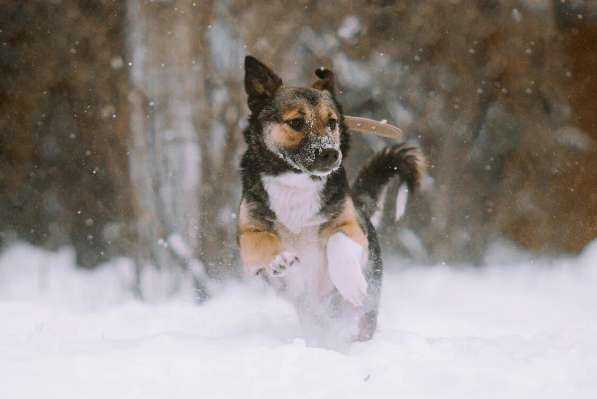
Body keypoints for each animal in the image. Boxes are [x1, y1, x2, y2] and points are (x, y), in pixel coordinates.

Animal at [237, 55, 424, 344]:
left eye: (332, 122)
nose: (331, 154)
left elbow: (338, 241)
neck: (297, 183)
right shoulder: (247, 239)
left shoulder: (351, 227)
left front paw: (351, 283)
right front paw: (279, 260)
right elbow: (263, 241)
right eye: (296, 122)